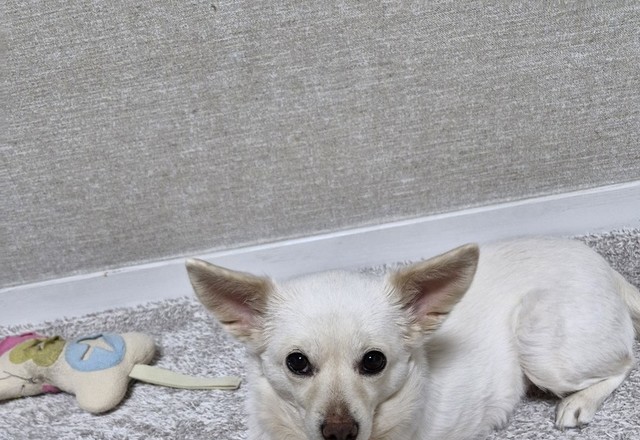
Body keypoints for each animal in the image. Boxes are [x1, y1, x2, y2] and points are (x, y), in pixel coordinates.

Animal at [186, 238, 640, 440]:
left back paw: (579, 403)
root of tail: (604, 267)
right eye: (296, 363)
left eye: (374, 361)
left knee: (625, 360)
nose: (339, 433)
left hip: (541, 345)